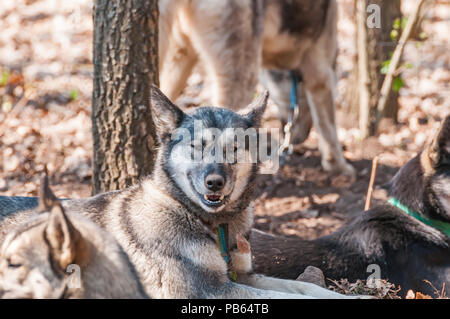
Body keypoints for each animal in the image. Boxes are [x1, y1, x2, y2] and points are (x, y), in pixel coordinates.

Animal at [0, 87, 366, 300]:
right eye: (197, 147)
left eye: (233, 148)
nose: (215, 183)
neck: (207, 222)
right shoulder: (207, 290)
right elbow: (292, 297)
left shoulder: (244, 275)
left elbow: (305, 287)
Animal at [159, 0, 356, 176]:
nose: (299, 139)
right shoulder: (321, 74)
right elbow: (328, 129)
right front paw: (338, 166)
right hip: (241, 74)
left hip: (177, 59)